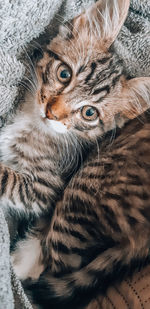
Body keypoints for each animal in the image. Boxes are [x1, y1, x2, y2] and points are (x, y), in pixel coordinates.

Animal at [0, 0, 149, 306]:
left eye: (89, 113)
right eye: (64, 74)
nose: (52, 112)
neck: (34, 124)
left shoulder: (44, 189)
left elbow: (9, 179)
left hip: (82, 189)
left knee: (57, 265)